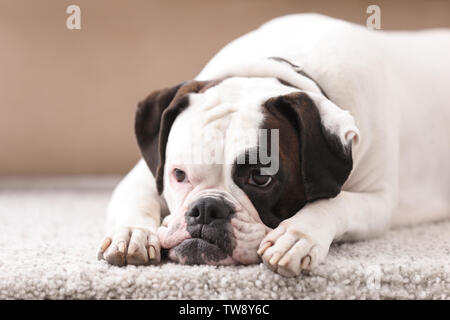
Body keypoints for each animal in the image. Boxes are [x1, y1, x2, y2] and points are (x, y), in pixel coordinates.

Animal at [97, 13, 450, 276]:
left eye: (260, 178)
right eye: (179, 175)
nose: (207, 209)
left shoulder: (377, 200)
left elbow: (336, 203)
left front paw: (297, 236)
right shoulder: (146, 173)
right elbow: (137, 198)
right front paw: (132, 233)